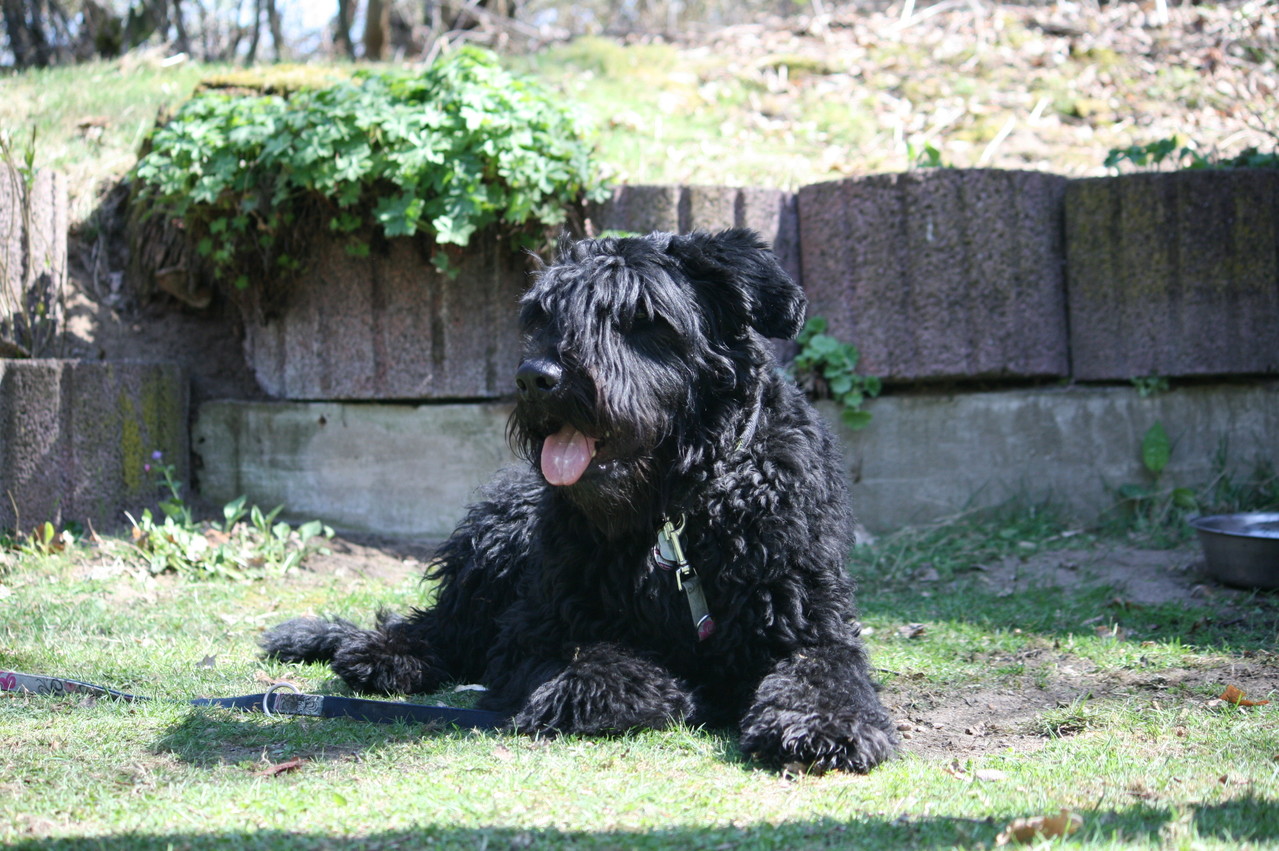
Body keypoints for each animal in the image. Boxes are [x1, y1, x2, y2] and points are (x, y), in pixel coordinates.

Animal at [259, 229, 900, 772]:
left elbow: (824, 670)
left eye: (640, 316)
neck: (674, 513)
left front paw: (821, 723)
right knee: (441, 626)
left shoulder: (808, 624)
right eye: (543, 315)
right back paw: (386, 653)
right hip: (496, 545)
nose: (536, 377)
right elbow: (594, 661)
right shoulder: (535, 632)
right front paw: (636, 688)